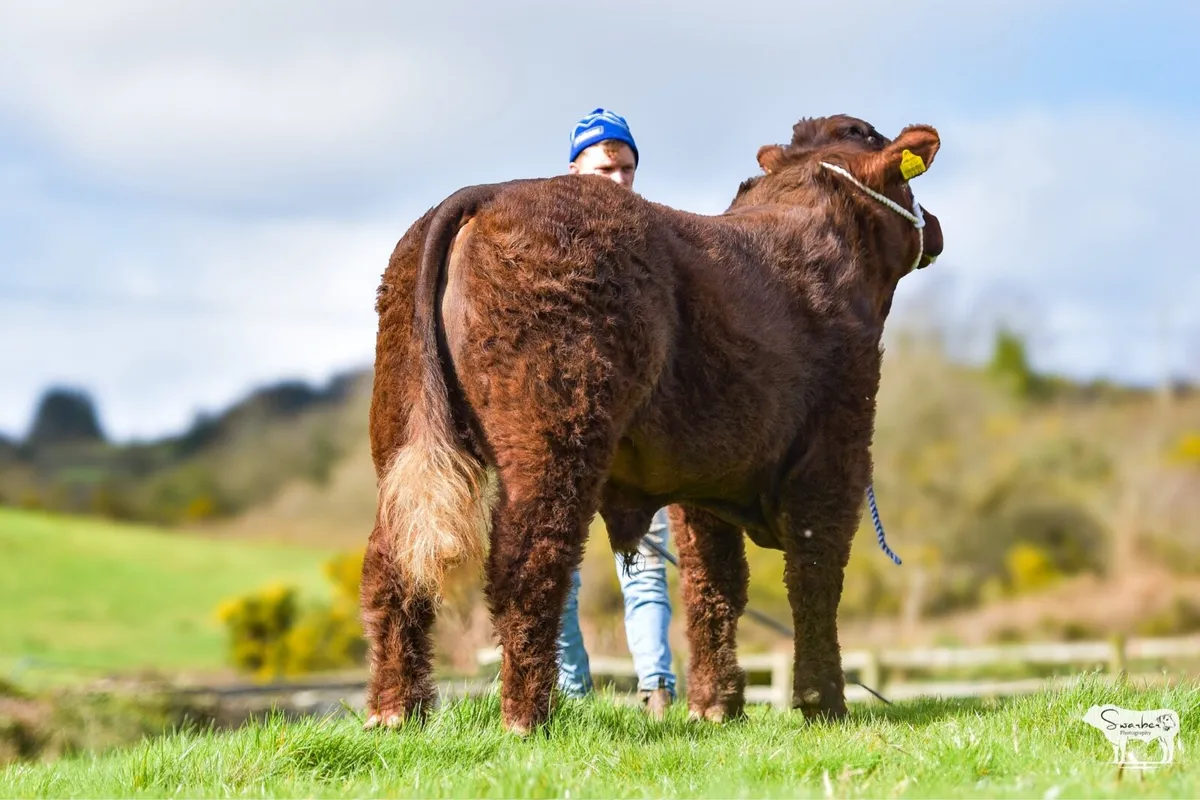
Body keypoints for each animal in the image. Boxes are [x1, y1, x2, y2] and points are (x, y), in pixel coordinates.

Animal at [361, 114, 944, 734]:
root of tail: (491, 192)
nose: (933, 226)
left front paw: (715, 706)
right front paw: (822, 703)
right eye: (906, 181)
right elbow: (815, 574)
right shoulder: (836, 446)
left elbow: (714, 585)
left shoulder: (706, 475)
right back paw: (528, 717)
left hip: (399, 431)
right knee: (526, 562)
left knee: (394, 564)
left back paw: (397, 711)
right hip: (555, 435)